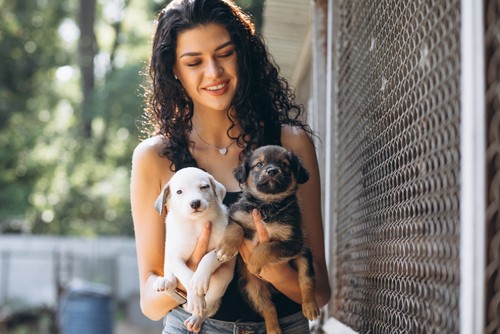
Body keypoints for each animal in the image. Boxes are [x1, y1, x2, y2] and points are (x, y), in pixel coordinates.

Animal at [151, 167, 235, 332]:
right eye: (179, 192)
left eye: (204, 187)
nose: (195, 203)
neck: (197, 223)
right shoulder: (175, 257)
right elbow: (186, 274)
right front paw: (194, 295)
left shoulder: (224, 248)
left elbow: (208, 258)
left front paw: (200, 280)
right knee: (171, 279)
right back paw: (164, 283)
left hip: (222, 279)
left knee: (208, 305)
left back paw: (196, 318)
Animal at [216, 145, 318, 332]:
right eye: (259, 164)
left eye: (284, 164)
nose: (272, 171)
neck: (267, 204)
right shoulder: (235, 216)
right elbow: (236, 229)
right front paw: (226, 249)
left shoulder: (292, 241)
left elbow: (267, 247)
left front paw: (253, 262)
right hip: (252, 288)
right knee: (268, 307)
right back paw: (274, 329)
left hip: (304, 255)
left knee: (306, 280)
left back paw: (310, 306)